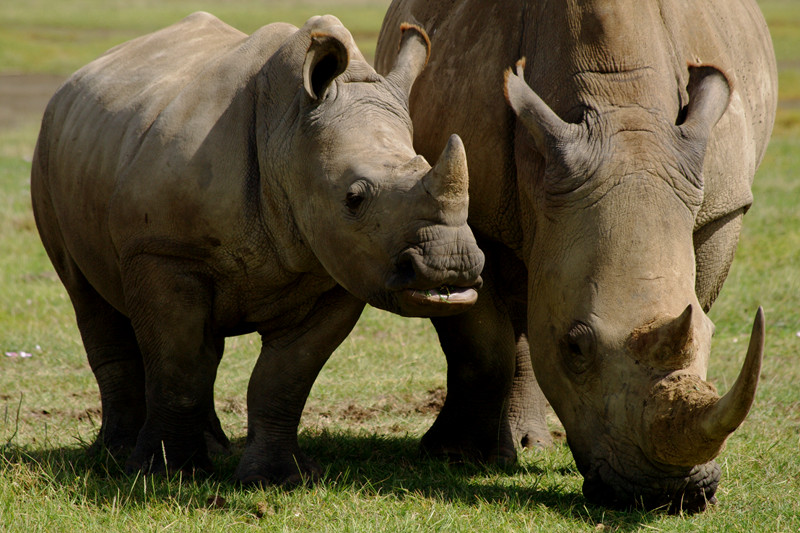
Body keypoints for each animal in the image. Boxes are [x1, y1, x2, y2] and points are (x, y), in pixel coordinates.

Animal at [29, 13, 482, 482]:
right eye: (354, 199)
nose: (452, 266)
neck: (289, 134)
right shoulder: (165, 251)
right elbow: (177, 364)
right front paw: (165, 473)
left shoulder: (338, 271)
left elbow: (285, 377)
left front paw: (277, 478)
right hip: (49, 150)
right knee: (88, 297)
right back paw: (117, 454)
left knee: (205, 349)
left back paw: (211, 449)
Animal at [378, 0, 780, 512]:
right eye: (574, 347)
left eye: (713, 336)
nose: (669, 494)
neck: (621, 108)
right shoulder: (468, 208)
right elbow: (482, 346)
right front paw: (454, 456)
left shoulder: (720, 204)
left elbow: (694, 305)